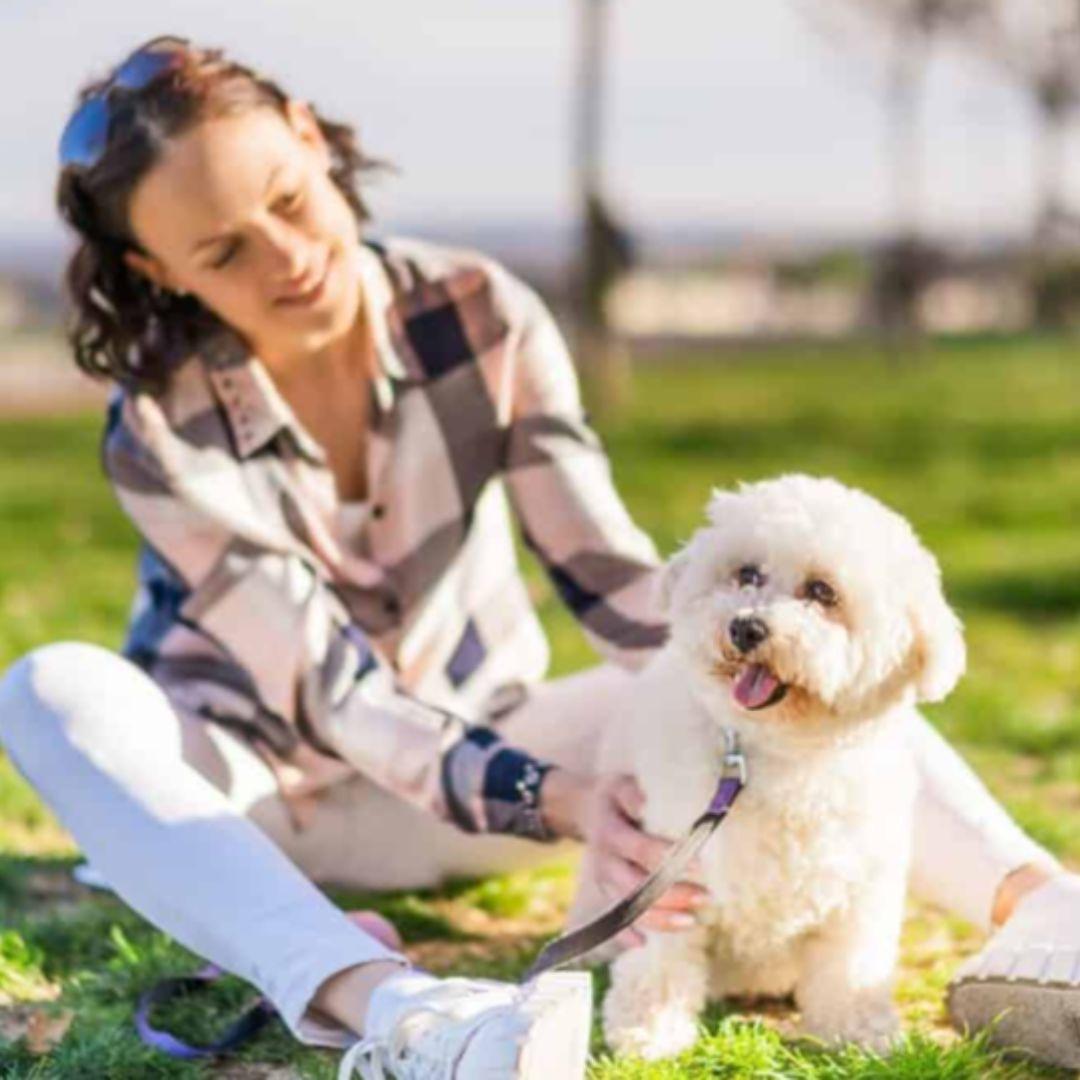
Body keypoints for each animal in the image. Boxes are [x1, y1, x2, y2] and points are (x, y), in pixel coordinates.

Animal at [570, 477, 967, 1058]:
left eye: (822, 592)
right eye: (747, 574)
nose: (746, 627)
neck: (776, 756)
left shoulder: (862, 887)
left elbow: (852, 967)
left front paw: (860, 1030)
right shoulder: (674, 880)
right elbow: (660, 962)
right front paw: (649, 1030)